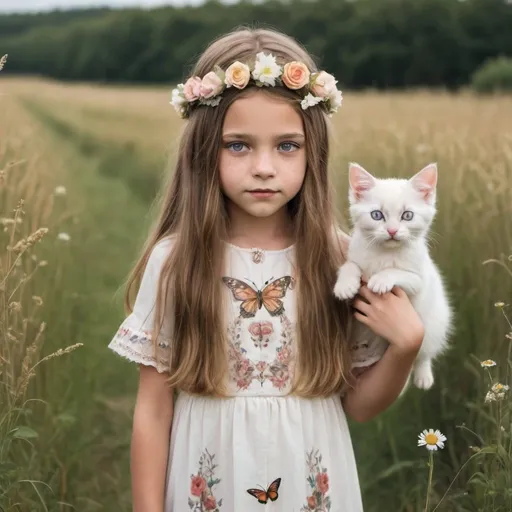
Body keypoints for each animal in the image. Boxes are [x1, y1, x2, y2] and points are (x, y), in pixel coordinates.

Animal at [336, 162, 452, 390]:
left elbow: (397, 272)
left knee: (424, 352)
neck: (385, 253)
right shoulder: (356, 253)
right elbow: (350, 265)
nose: (392, 231)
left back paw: (423, 376)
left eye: (407, 215)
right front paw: (345, 285)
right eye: (376, 215)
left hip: (435, 320)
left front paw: (380, 280)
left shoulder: (419, 279)